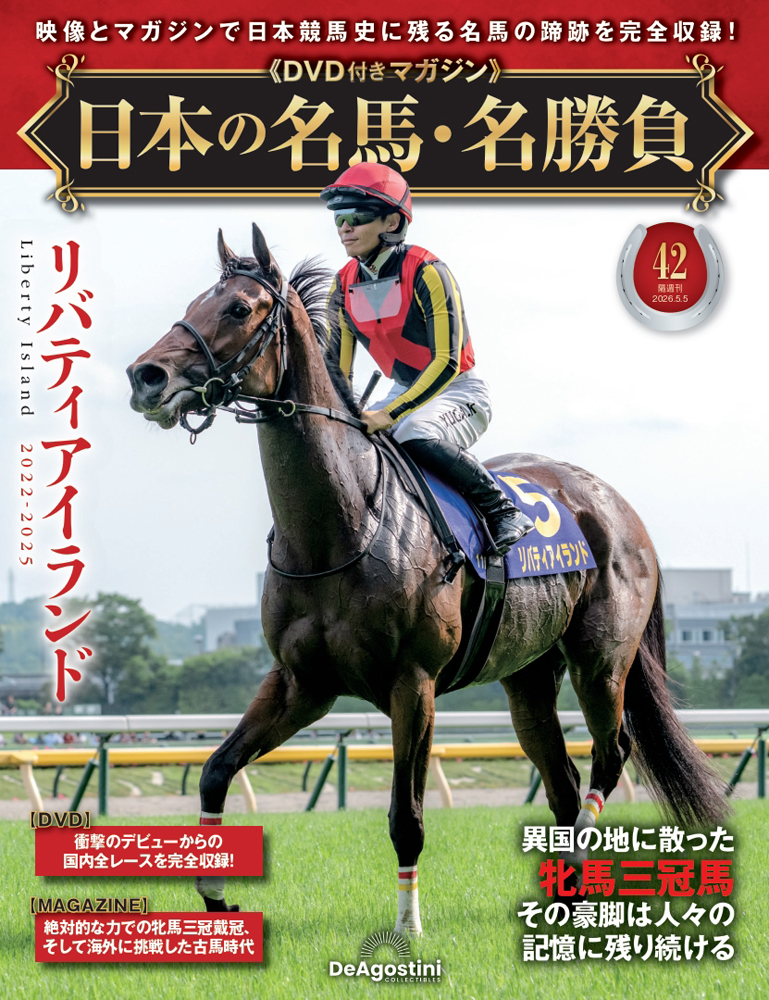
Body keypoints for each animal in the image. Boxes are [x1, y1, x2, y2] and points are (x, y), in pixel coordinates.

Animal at [127, 224, 726, 936]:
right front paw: (217, 898)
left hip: (600, 660)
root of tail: (619, 507)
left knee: (611, 753)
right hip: (528, 677)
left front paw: (408, 930)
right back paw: (564, 897)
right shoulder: (302, 684)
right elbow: (216, 770)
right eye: (195, 302)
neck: (344, 525)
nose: (146, 375)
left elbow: (406, 819)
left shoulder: (414, 685)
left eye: (240, 308)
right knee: (561, 780)